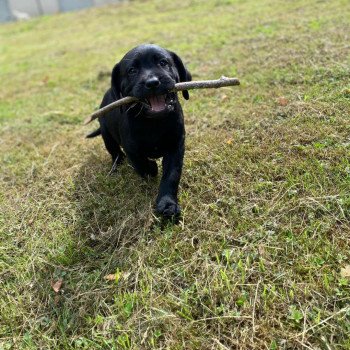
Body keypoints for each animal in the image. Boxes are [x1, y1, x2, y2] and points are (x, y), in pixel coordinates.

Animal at [87, 45, 191, 217]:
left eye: (163, 62)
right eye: (132, 70)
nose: (152, 83)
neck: (153, 122)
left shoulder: (176, 145)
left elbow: (172, 175)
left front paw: (167, 204)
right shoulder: (131, 148)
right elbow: (140, 164)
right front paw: (152, 169)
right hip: (107, 135)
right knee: (116, 153)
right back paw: (115, 168)